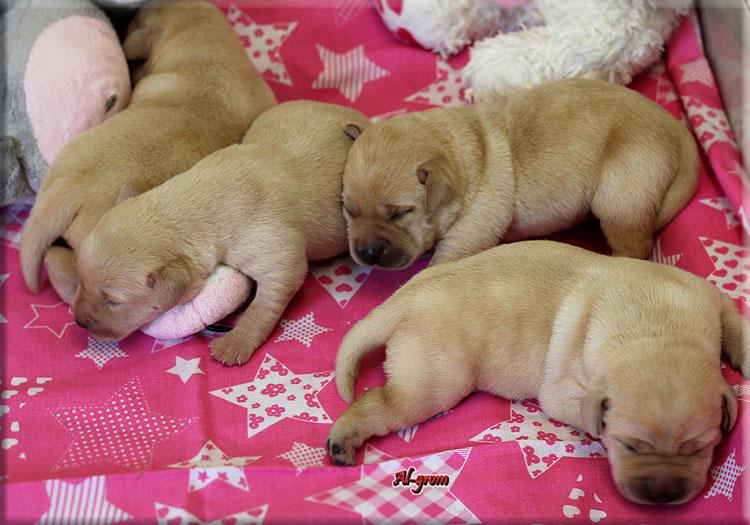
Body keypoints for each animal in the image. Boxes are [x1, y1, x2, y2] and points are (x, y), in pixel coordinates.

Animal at [72, 102, 372, 364]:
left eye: (114, 301)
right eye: (80, 279)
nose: (78, 322)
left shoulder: (275, 255)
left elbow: (263, 305)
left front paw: (235, 343)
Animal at [328, 242, 748, 504]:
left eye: (700, 448)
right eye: (628, 446)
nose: (661, 495)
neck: (655, 329)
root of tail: (403, 300)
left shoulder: (711, 299)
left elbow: (735, 321)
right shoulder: (562, 391)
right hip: (432, 379)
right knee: (379, 401)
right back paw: (344, 438)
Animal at [344, 81, 704, 270]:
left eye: (400, 213)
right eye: (349, 210)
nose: (367, 254)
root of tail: (673, 126)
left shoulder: (474, 226)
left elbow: (448, 258)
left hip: (620, 195)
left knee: (635, 245)